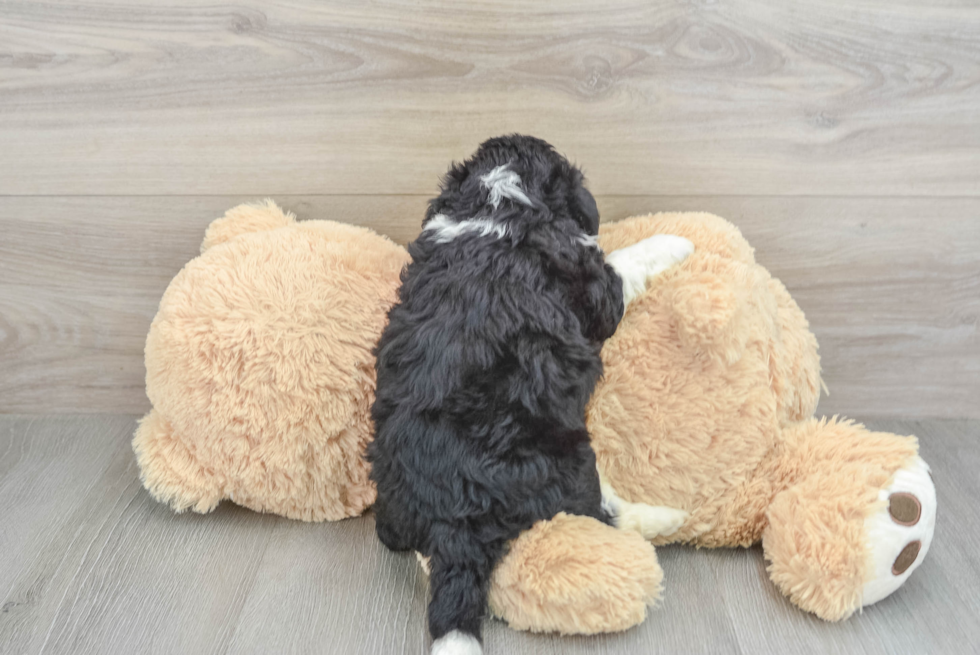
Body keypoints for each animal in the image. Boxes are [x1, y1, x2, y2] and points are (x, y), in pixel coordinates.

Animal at [372, 135, 692, 655]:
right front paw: (675, 241)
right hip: (568, 460)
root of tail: (452, 523)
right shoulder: (595, 286)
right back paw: (667, 517)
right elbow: (622, 262)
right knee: (600, 510)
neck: (500, 200)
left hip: (393, 503)